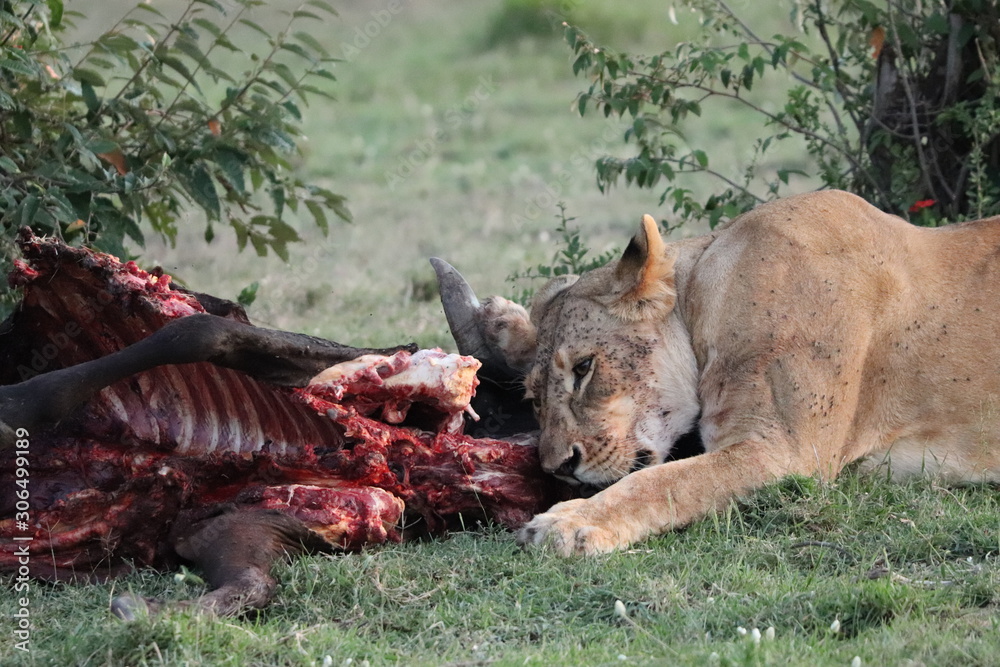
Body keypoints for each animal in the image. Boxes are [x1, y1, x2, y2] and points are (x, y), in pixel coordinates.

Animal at [475, 189, 1000, 556]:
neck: (704, 298)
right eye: (533, 398)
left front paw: (568, 523)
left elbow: (663, 483)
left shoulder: (784, 450)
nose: (557, 468)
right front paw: (503, 322)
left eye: (585, 368)